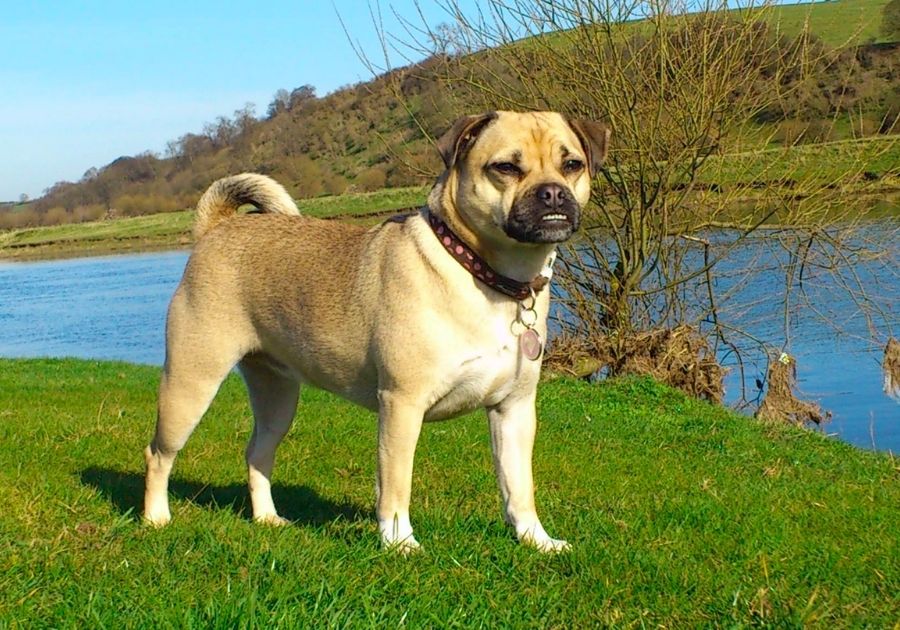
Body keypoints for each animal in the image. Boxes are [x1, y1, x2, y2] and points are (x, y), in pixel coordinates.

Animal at [144, 110, 608, 552]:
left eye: (572, 164)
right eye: (506, 168)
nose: (552, 192)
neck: (485, 272)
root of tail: (216, 229)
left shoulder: (513, 411)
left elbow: (518, 487)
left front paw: (536, 540)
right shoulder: (402, 405)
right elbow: (396, 485)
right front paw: (400, 542)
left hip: (277, 398)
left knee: (258, 452)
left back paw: (267, 518)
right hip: (191, 382)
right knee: (158, 454)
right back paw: (156, 518)